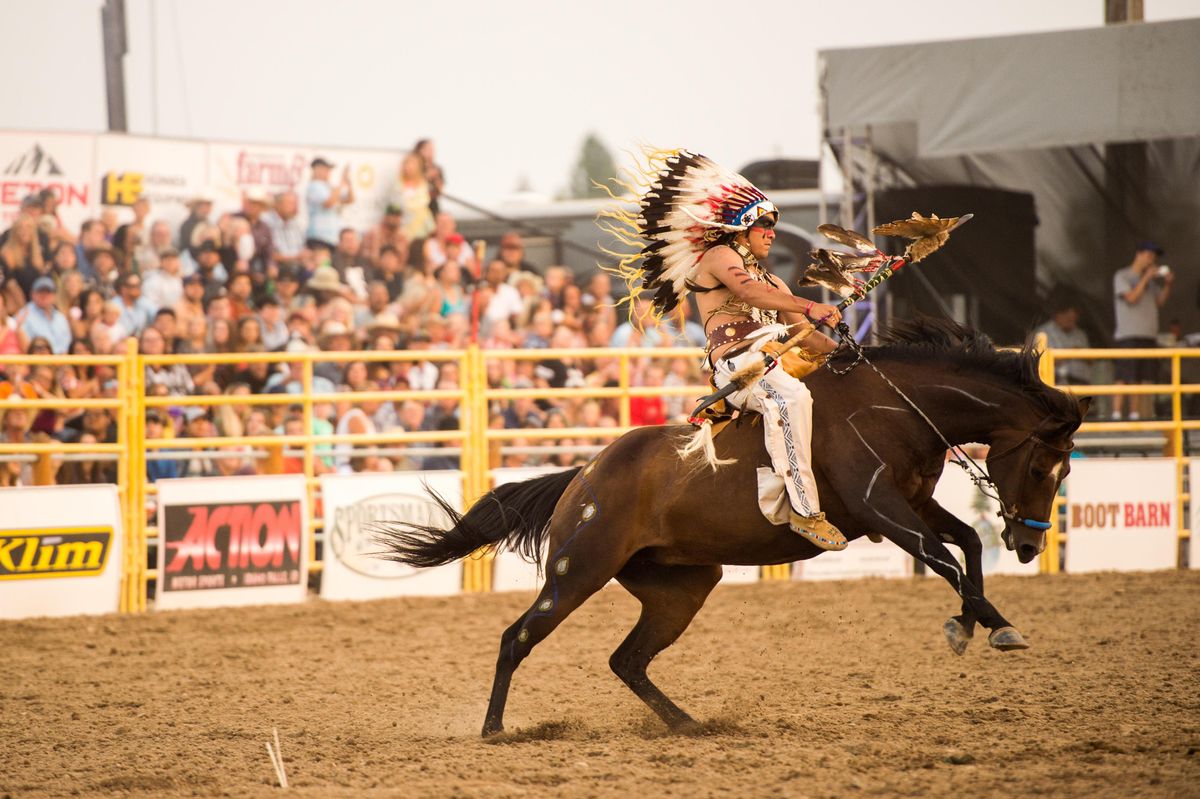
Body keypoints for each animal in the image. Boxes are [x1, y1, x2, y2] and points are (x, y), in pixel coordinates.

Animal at [379, 316, 1094, 734]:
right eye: (1044, 464)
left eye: (1065, 469)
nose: (1028, 542)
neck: (892, 404)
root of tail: (584, 476)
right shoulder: (878, 509)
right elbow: (945, 559)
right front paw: (985, 627)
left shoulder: (914, 503)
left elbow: (965, 543)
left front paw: (980, 625)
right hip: (576, 573)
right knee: (516, 638)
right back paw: (493, 729)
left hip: (683, 586)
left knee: (626, 660)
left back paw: (690, 725)